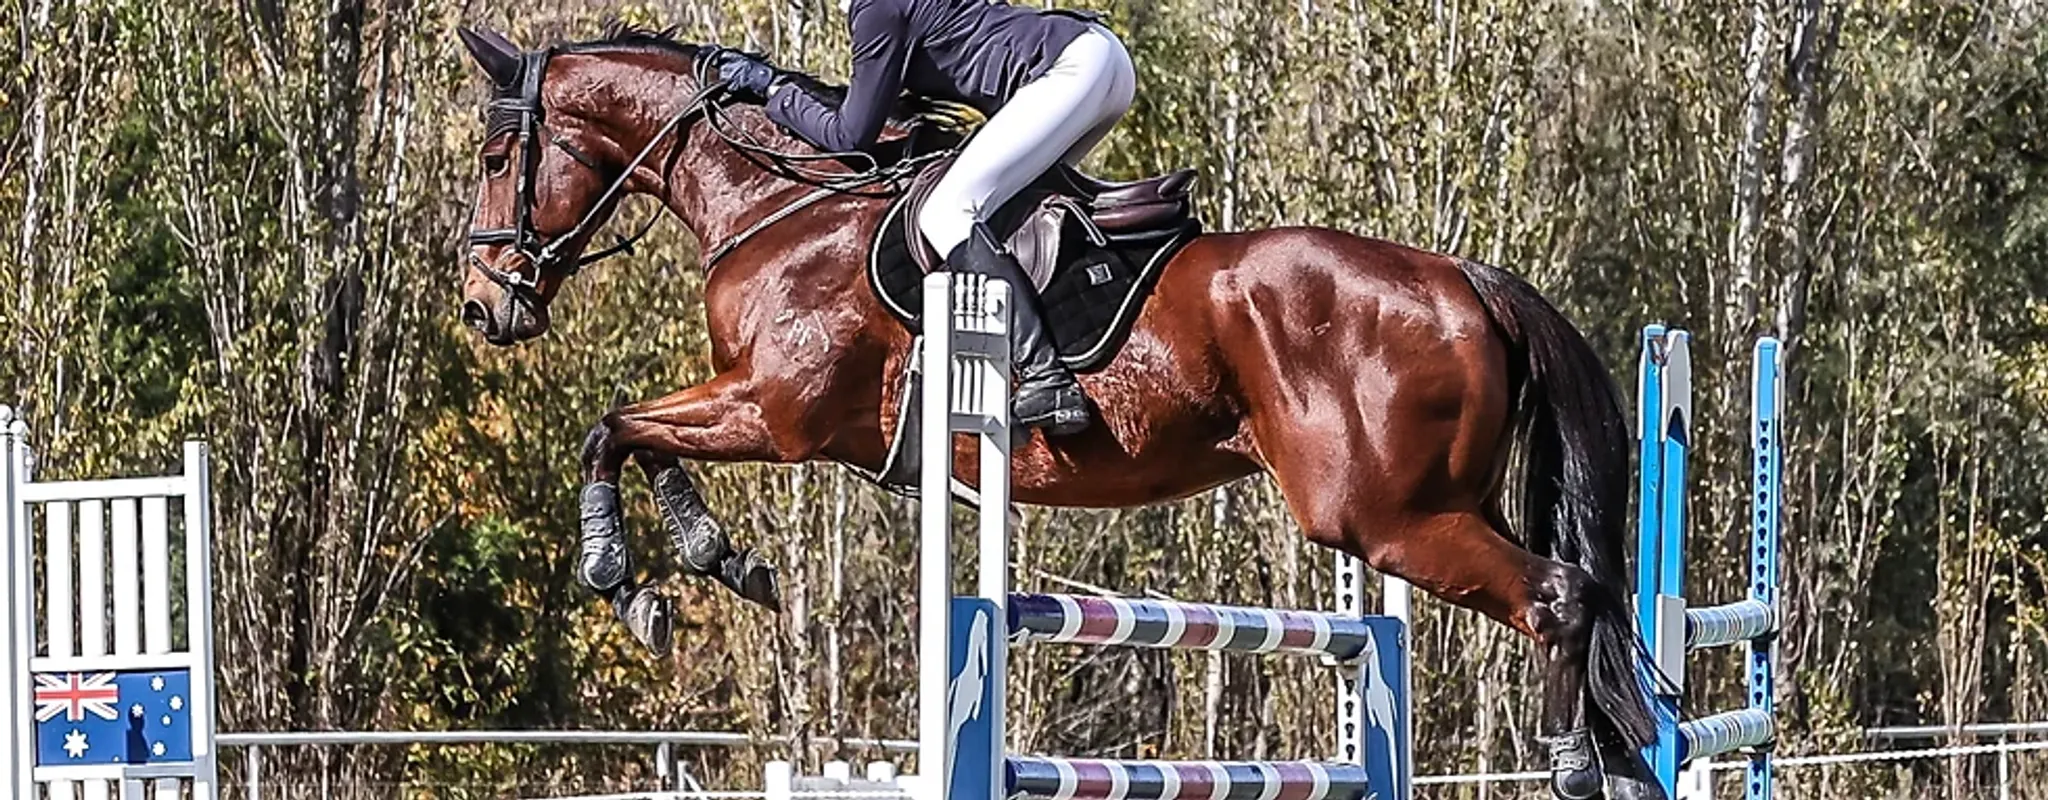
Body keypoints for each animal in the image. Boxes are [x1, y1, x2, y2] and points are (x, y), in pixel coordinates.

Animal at [453, 26, 1662, 800]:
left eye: (498, 155)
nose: (482, 303)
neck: (784, 203)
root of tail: (1465, 279)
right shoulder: (757, 409)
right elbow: (637, 434)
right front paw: (711, 557)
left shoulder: (776, 410)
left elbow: (614, 423)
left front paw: (622, 573)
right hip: (1429, 504)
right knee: (1574, 591)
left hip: (1381, 516)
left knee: (1557, 596)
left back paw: (1575, 765)